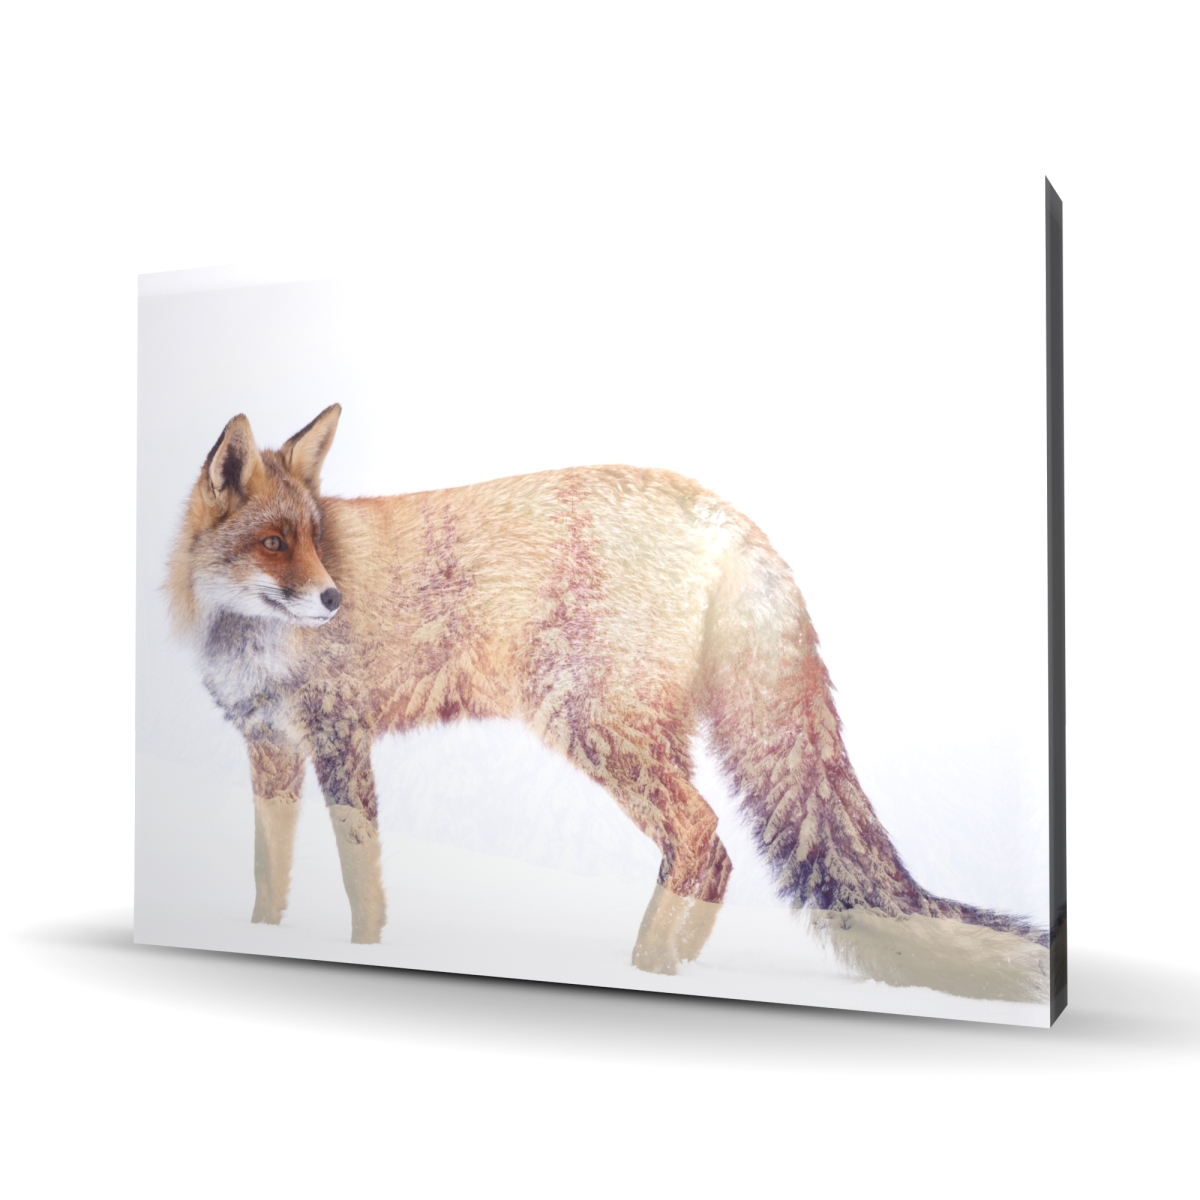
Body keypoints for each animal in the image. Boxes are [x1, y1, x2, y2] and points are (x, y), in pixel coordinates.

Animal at [167, 404, 1051, 1003]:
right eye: (275, 542)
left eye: (316, 540)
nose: (332, 599)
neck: (247, 643)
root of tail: (726, 513)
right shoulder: (271, 747)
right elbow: (268, 875)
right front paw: (261, 936)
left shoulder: (341, 738)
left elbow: (361, 881)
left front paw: (366, 948)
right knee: (717, 852)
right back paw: (681, 964)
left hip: (594, 725)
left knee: (700, 834)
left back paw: (648, 967)